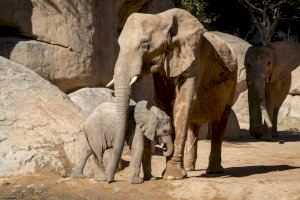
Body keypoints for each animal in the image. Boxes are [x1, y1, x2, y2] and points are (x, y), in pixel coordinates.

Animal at [105, 8, 237, 182]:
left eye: (146, 45)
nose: (109, 180)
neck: (162, 19)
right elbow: (165, 102)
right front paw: (168, 172)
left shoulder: (195, 58)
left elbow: (183, 101)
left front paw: (172, 176)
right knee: (194, 124)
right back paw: (190, 167)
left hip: (233, 80)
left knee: (220, 119)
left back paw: (213, 171)